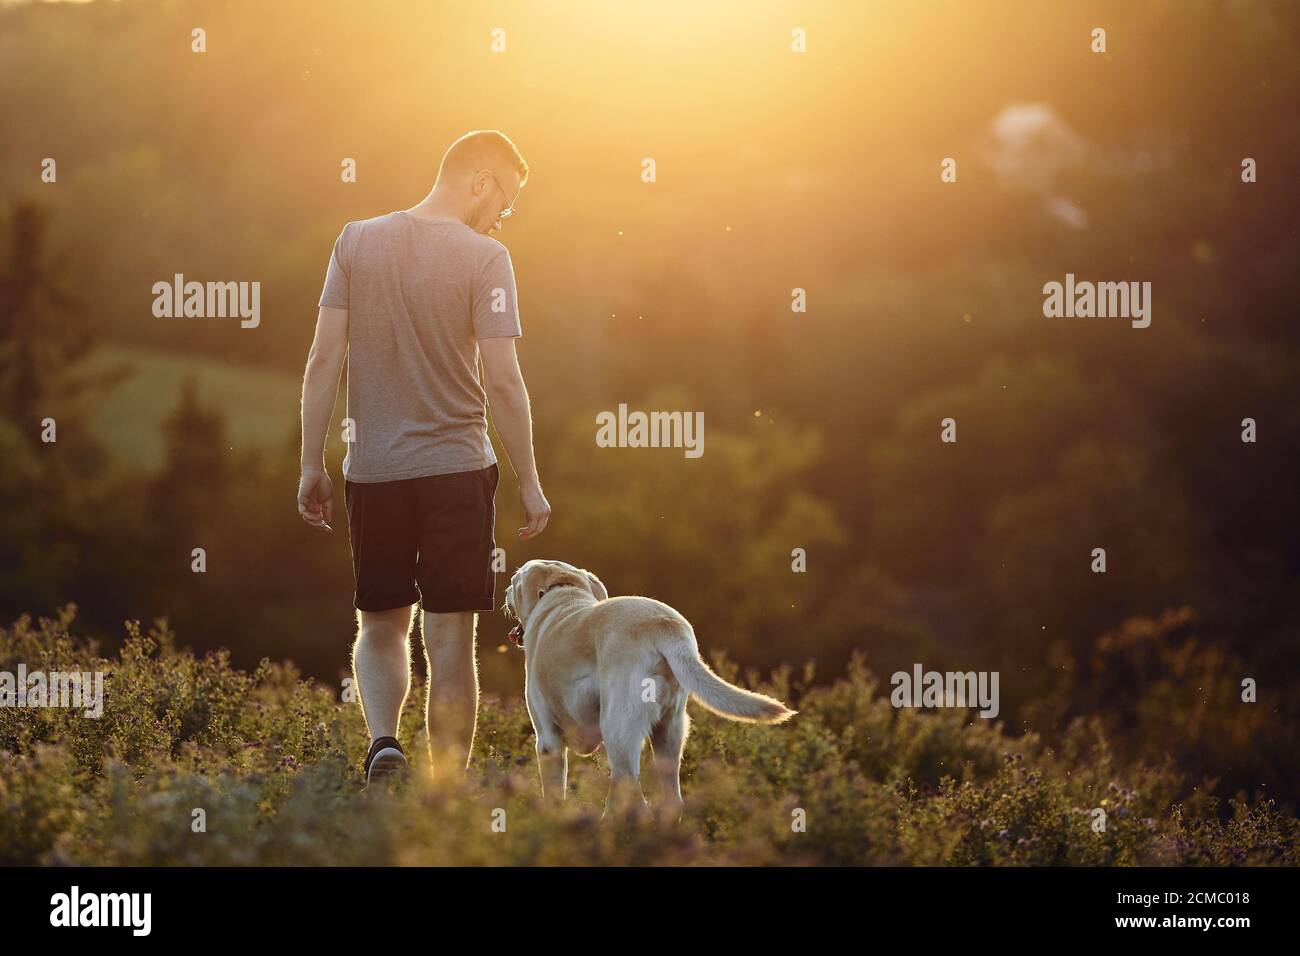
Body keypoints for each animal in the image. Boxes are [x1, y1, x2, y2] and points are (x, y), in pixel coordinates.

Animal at [504, 556, 790, 811]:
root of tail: (664, 625)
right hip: (669, 733)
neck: (564, 591)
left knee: (631, 795)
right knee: (671, 801)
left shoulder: (548, 741)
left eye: (514, 580)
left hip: (618, 732)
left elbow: (553, 795)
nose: (505, 590)